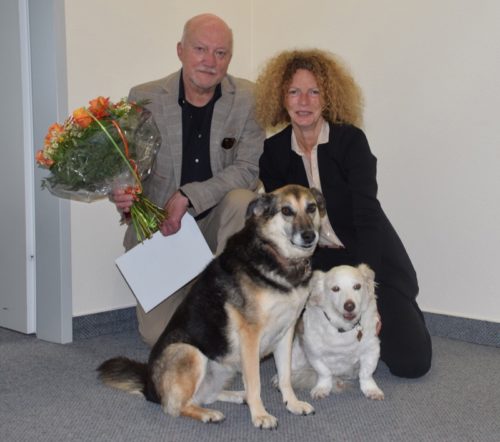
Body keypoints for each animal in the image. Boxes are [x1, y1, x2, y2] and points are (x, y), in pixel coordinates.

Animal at [97, 184, 326, 428]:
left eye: (311, 208)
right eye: (286, 211)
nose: (310, 236)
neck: (275, 256)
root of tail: (149, 386)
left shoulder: (286, 332)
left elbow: (285, 377)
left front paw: (292, 403)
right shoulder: (250, 336)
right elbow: (255, 382)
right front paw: (260, 415)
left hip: (223, 367)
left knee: (207, 395)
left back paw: (238, 396)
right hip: (189, 352)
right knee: (176, 407)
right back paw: (209, 413)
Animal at [286, 264, 382, 402]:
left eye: (357, 286)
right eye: (335, 289)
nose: (349, 306)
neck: (343, 328)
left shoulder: (371, 350)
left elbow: (366, 374)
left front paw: (371, 390)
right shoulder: (314, 355)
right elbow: (324, 373)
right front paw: (322, 388)